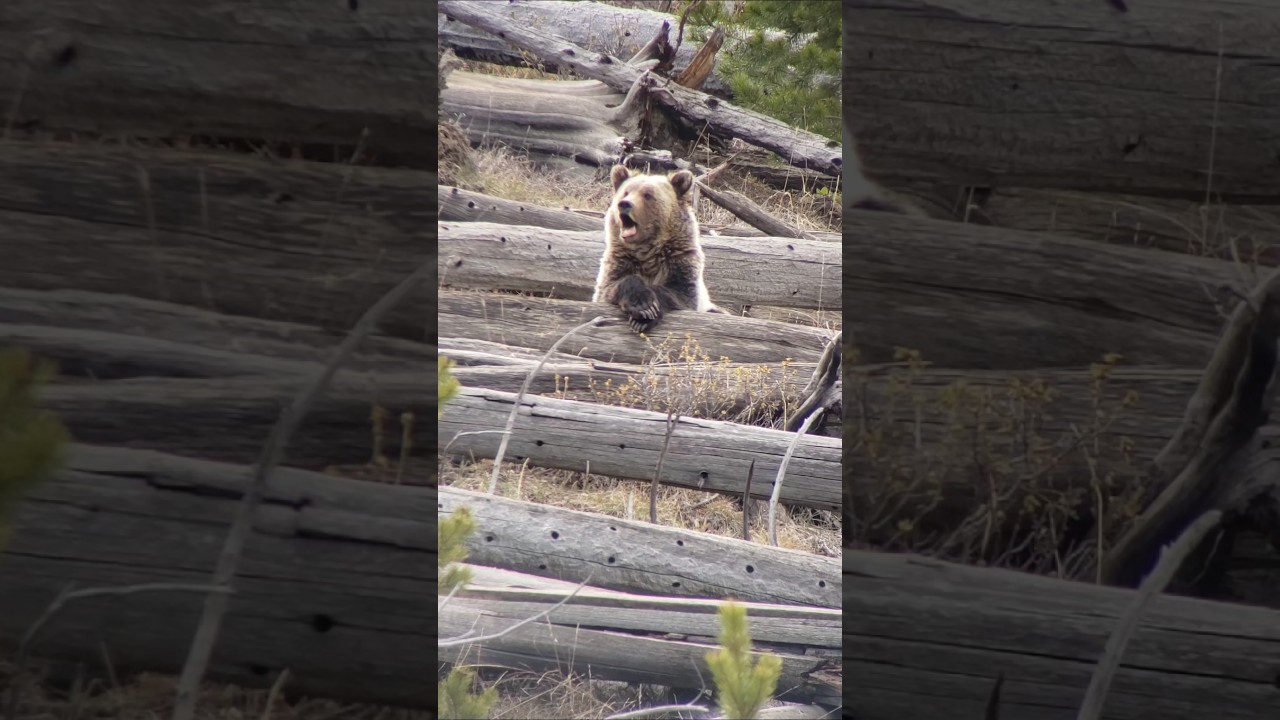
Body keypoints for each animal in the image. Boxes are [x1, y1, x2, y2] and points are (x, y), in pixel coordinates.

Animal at [593, 164, 723, 333]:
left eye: (648, 195)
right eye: (626, 192)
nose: (624, 204)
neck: (647, 250)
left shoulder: (680, 261)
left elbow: (680, 293)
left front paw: (646, 315)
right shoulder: (620, 261)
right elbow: (610, 288)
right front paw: (642, 305)